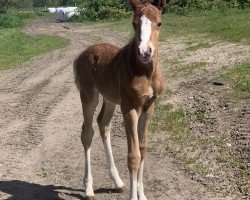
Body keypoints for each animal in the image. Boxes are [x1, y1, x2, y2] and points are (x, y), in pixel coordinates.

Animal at [73, 0, 165, 199]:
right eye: (134, 23)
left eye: (159, 23)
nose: (145, 52)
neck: (145, 73)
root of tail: (81, 54)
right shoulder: (129, 108)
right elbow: (133, 156)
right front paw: (134, 196)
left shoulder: (149, 107)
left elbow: (143, 149)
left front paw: (142, 194)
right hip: (89, 95)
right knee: (87, 133)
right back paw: (88, 188)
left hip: (110, 99)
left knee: (103, 124)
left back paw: (117, 181)